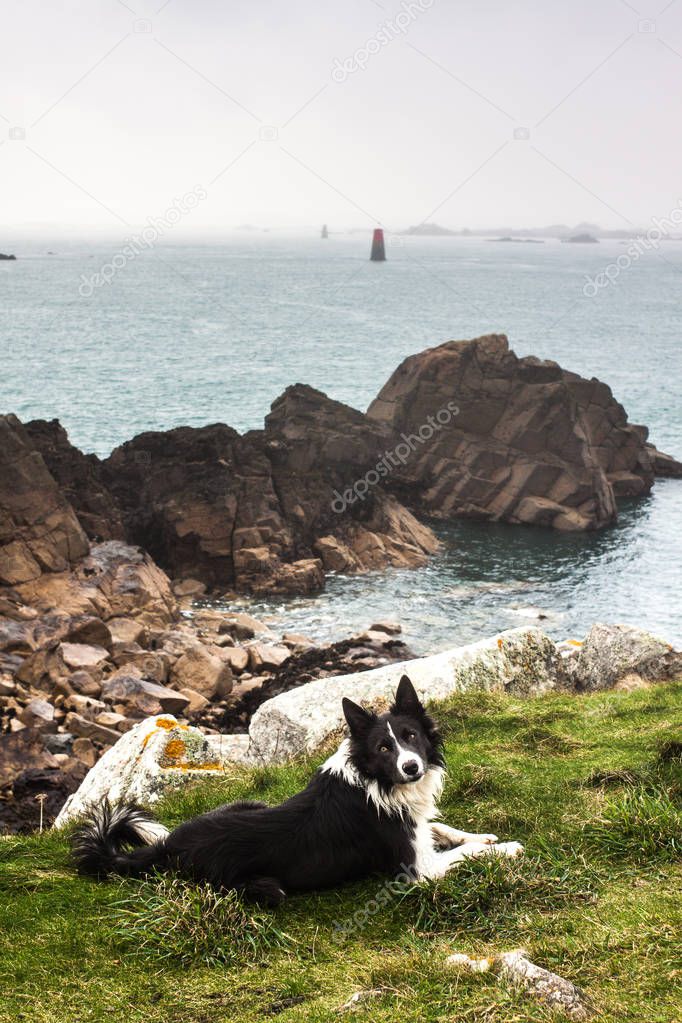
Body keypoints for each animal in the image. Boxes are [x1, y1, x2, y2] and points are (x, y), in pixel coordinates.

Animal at [72, 679, 523, 904]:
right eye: (383, 748)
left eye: (411, 736)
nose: (411, 767)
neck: (377, 781)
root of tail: (168, 847)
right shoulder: (419, 871)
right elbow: (462, 852)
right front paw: (507, 847)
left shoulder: (417, 827)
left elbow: (444, 829)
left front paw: (484, 835)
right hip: (265, 888)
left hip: (250, 802)